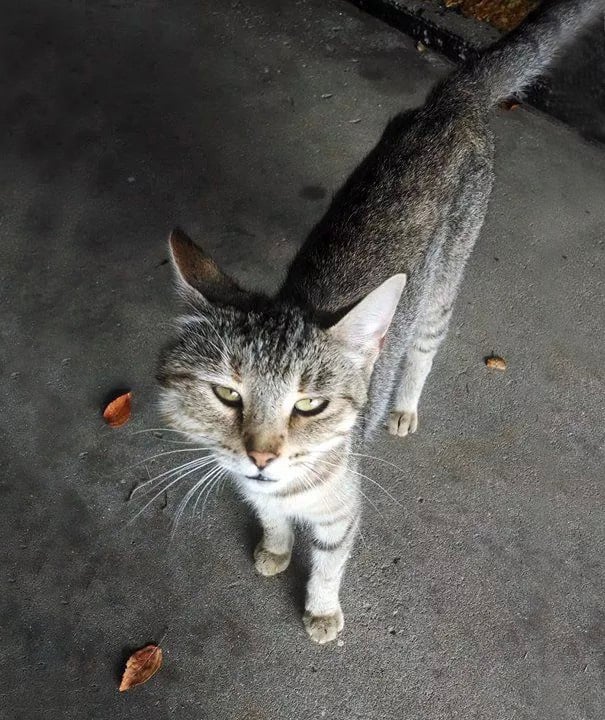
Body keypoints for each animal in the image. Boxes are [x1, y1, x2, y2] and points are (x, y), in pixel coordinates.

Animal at [158, 2, 600, 644]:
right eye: (227, 394)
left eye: (310, 405)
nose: (261, 458)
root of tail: (451, 99)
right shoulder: (249, 484)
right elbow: (271, 518)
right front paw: (274, 547)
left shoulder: (341, 510)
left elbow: (328, 564)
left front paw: (321, 610)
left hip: (438, 291)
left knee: (422, 349)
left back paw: (404, 406)